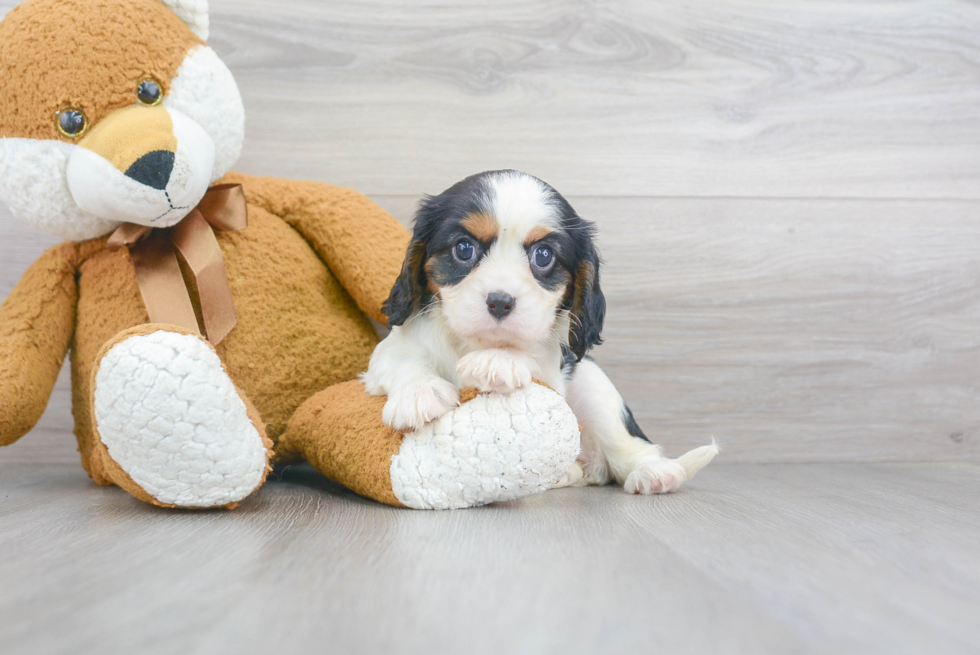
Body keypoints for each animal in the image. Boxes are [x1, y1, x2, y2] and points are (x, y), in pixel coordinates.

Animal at [364, 172, 716, 494]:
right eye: (464, 249)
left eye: (543, 256)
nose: (500, 301)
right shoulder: (388, 352)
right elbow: (404, 358)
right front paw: (419, 393)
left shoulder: (553, 372)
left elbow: (528, 354)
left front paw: (499, 360)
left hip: (592, 385)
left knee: (627, 447)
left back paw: (653, 472)